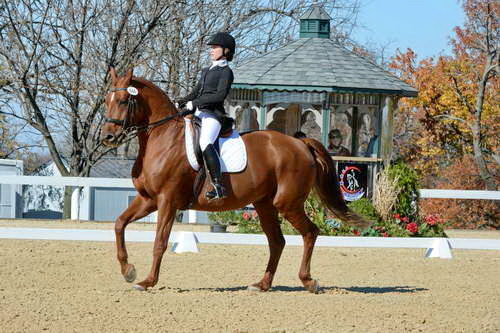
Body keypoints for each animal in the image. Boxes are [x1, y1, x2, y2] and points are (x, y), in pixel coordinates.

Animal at [102, 67, 368, 290]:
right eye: (107, 100)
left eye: (124, 101)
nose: (108, 137)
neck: (162, 139)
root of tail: (300, 143)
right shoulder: (148, 199)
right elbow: (119, 224)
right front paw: (128, 271)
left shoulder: (168, 201)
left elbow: (160, 242)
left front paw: (147, 281)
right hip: (264, 205)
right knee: (277, 241)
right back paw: (262, 284)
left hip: (288, 203)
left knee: (310, 232)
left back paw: (309, 281)